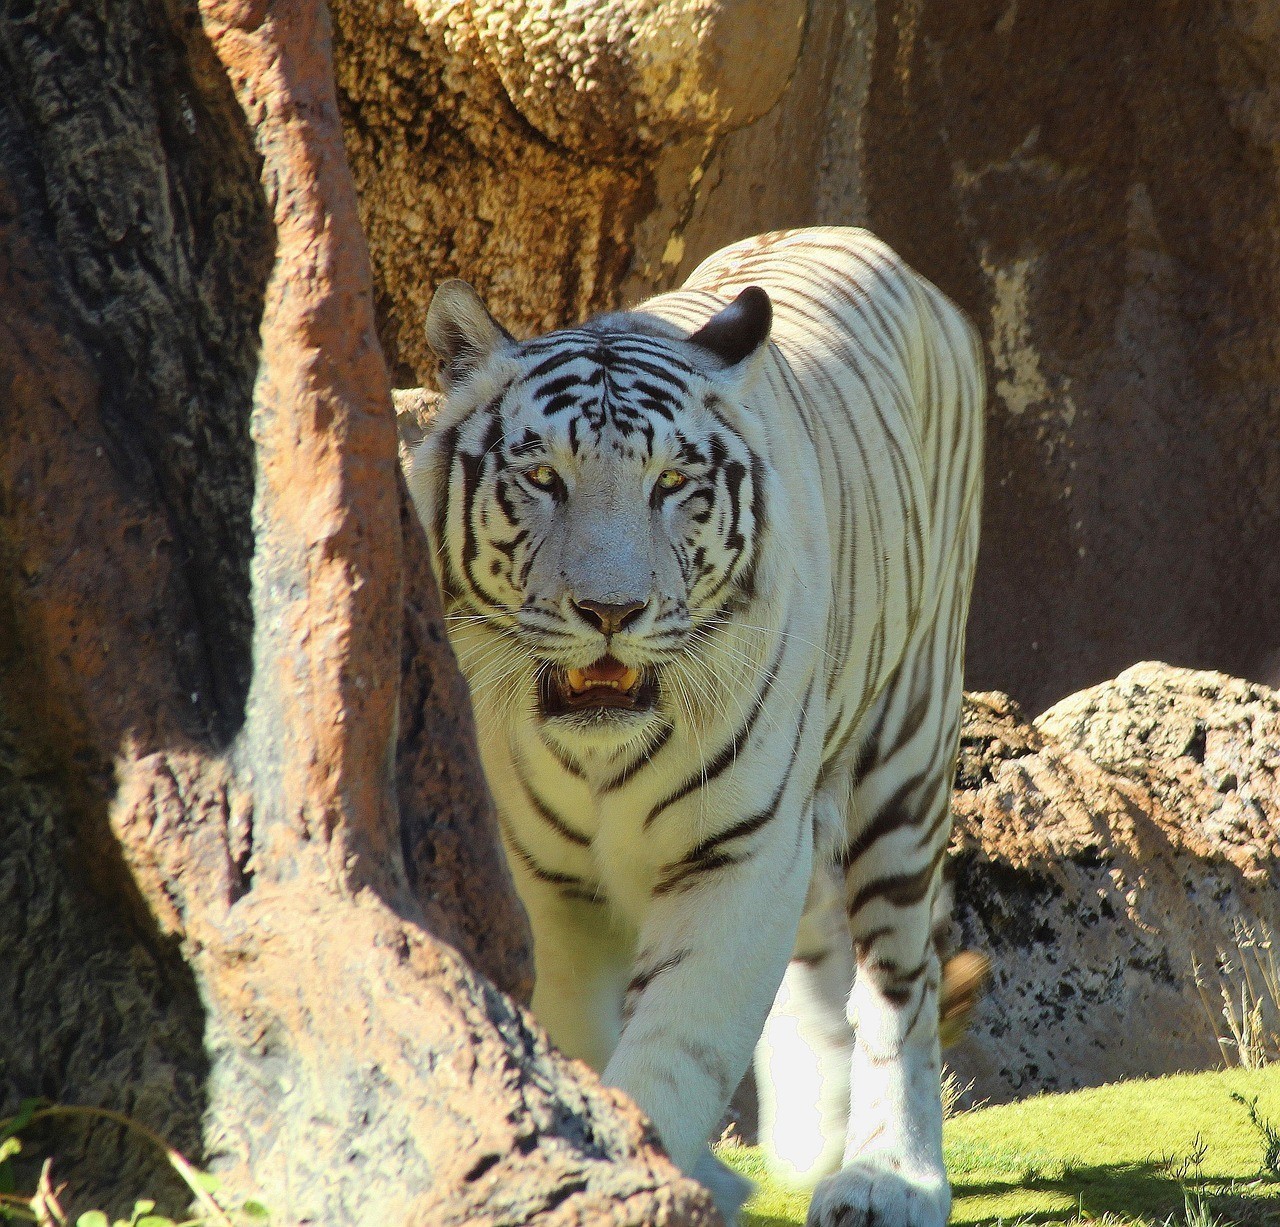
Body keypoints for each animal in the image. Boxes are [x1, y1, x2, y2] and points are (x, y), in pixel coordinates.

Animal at [407, 227, 985, 1227]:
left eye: (670, 483)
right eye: (542, 477)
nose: (610, 609)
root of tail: (874, 244)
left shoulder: (738, 852)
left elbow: (682, 1041)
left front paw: (648, 1167)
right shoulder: (546, 876)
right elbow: (580, 1029)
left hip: (906, 753)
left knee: (898, 985)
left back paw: (887, 1176)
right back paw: (809, 1137)